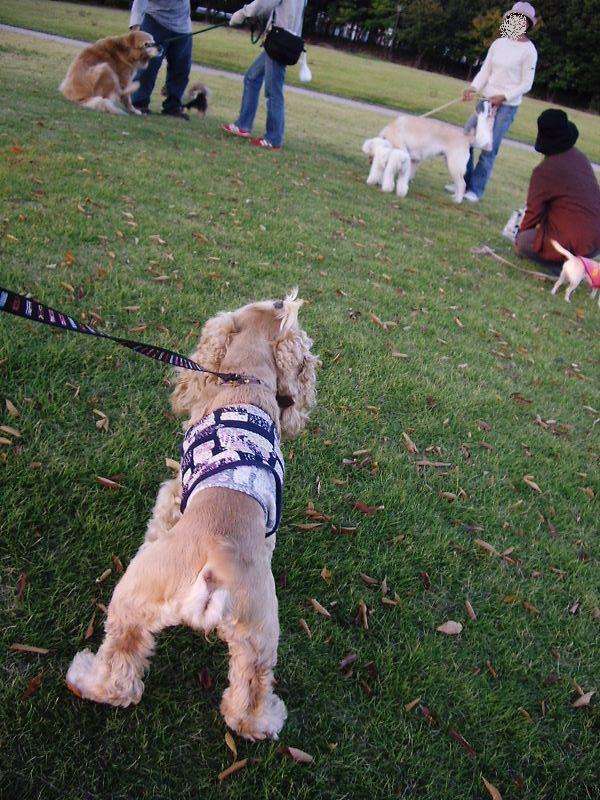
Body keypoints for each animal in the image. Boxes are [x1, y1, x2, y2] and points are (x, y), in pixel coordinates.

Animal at [65, 291, 318, 741]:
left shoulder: (172, 492)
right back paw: (267, 719)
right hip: (259, 637)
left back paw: (83, 676)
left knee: (120, 672)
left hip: (133, 597)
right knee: (247, 696)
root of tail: (216, 563)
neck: (247, 381)